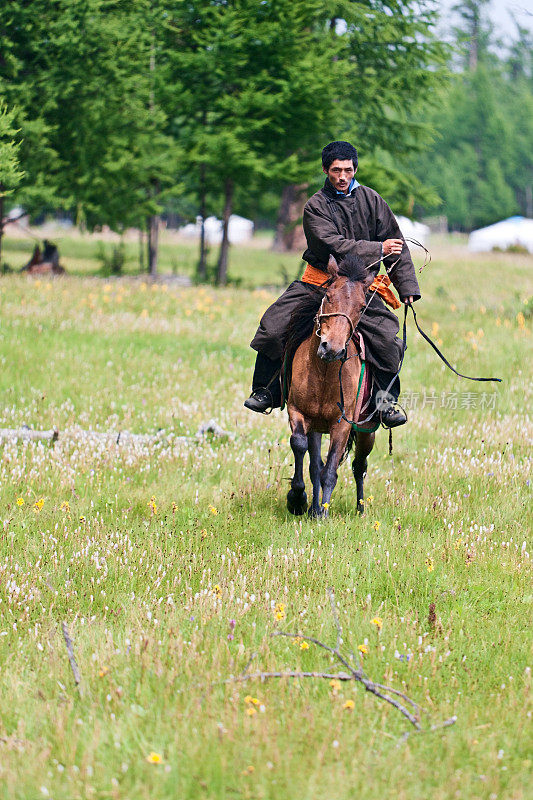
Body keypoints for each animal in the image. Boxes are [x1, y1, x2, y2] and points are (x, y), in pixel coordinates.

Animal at [284, 256, 376, 520]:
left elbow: (331, 469)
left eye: (362, 306)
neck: (324, 372)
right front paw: (299, 500)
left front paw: (323, 514)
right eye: (328, 295)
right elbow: (302, 449)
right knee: (316, 464)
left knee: (359, 466)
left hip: (367, 430)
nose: (332, 349)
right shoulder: (298, 413)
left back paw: (360, 508)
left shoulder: (342, 425)